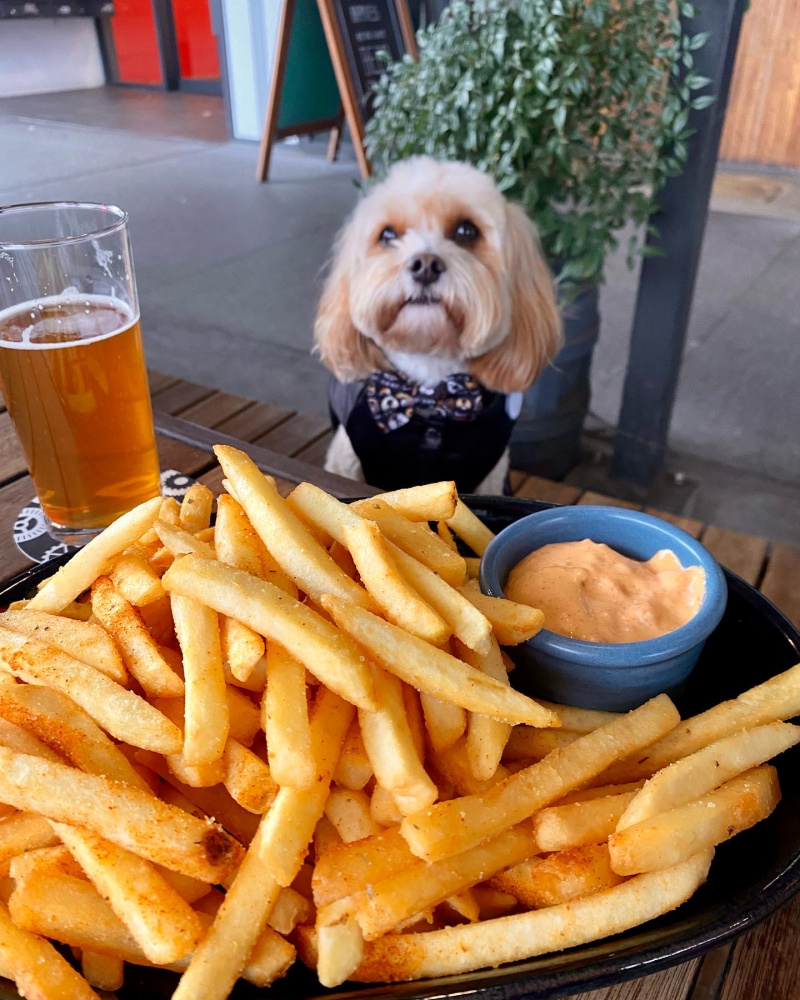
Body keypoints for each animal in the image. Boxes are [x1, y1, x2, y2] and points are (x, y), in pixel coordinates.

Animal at [316, 156, 560, 496]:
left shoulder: (490, 476)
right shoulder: (347, 456)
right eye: (387, 235)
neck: (430, 390)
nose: (425, 265)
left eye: (466, 231)